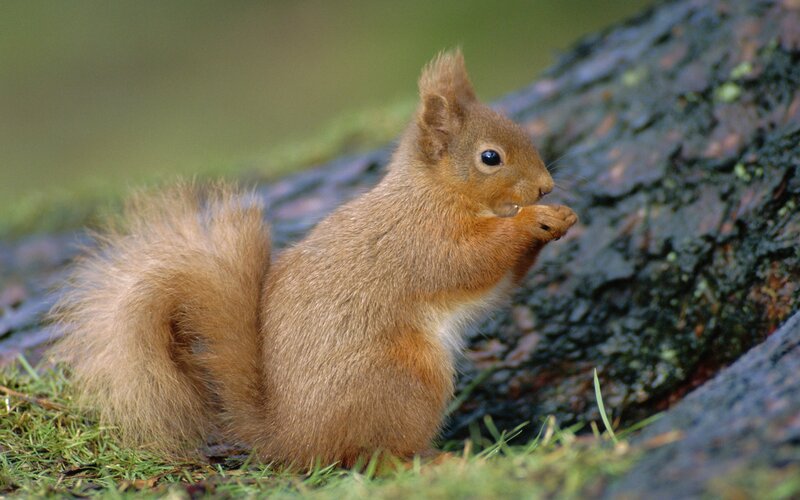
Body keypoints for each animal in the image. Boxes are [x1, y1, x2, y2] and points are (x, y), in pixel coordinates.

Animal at [50, 50, 577, 468]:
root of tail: (292, 440)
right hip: (405, 379)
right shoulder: (423, 242)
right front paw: (533, 221)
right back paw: (434, 460)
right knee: (370, 458)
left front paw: (561, 217)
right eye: (490, 158)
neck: (435, 193)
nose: (545, 187)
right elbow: (472, 261)